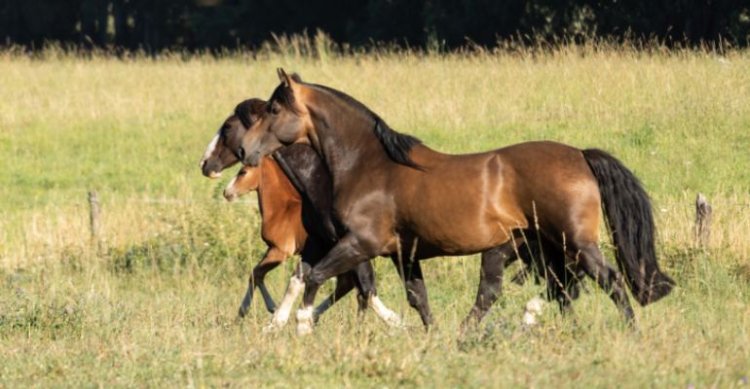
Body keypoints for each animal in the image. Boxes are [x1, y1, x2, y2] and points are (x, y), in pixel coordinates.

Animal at [197, 98, 402, 328]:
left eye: (228, 126)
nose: (205, 163)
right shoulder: (309, 245)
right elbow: (281, 276)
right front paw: (273, 317)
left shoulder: (291, 249)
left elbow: (365, 286)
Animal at [239, 69, 676, 334]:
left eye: (274, 108)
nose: (245, 150)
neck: (370, 164)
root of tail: (581, 155)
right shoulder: (404, 254)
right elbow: (417, 298)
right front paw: (431, 337)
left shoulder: (361, 244)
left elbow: (314, 275)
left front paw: (301, 324)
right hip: (537, 245)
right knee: (551, 290)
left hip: (573, 242)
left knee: (607, 281)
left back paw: (631, 332)